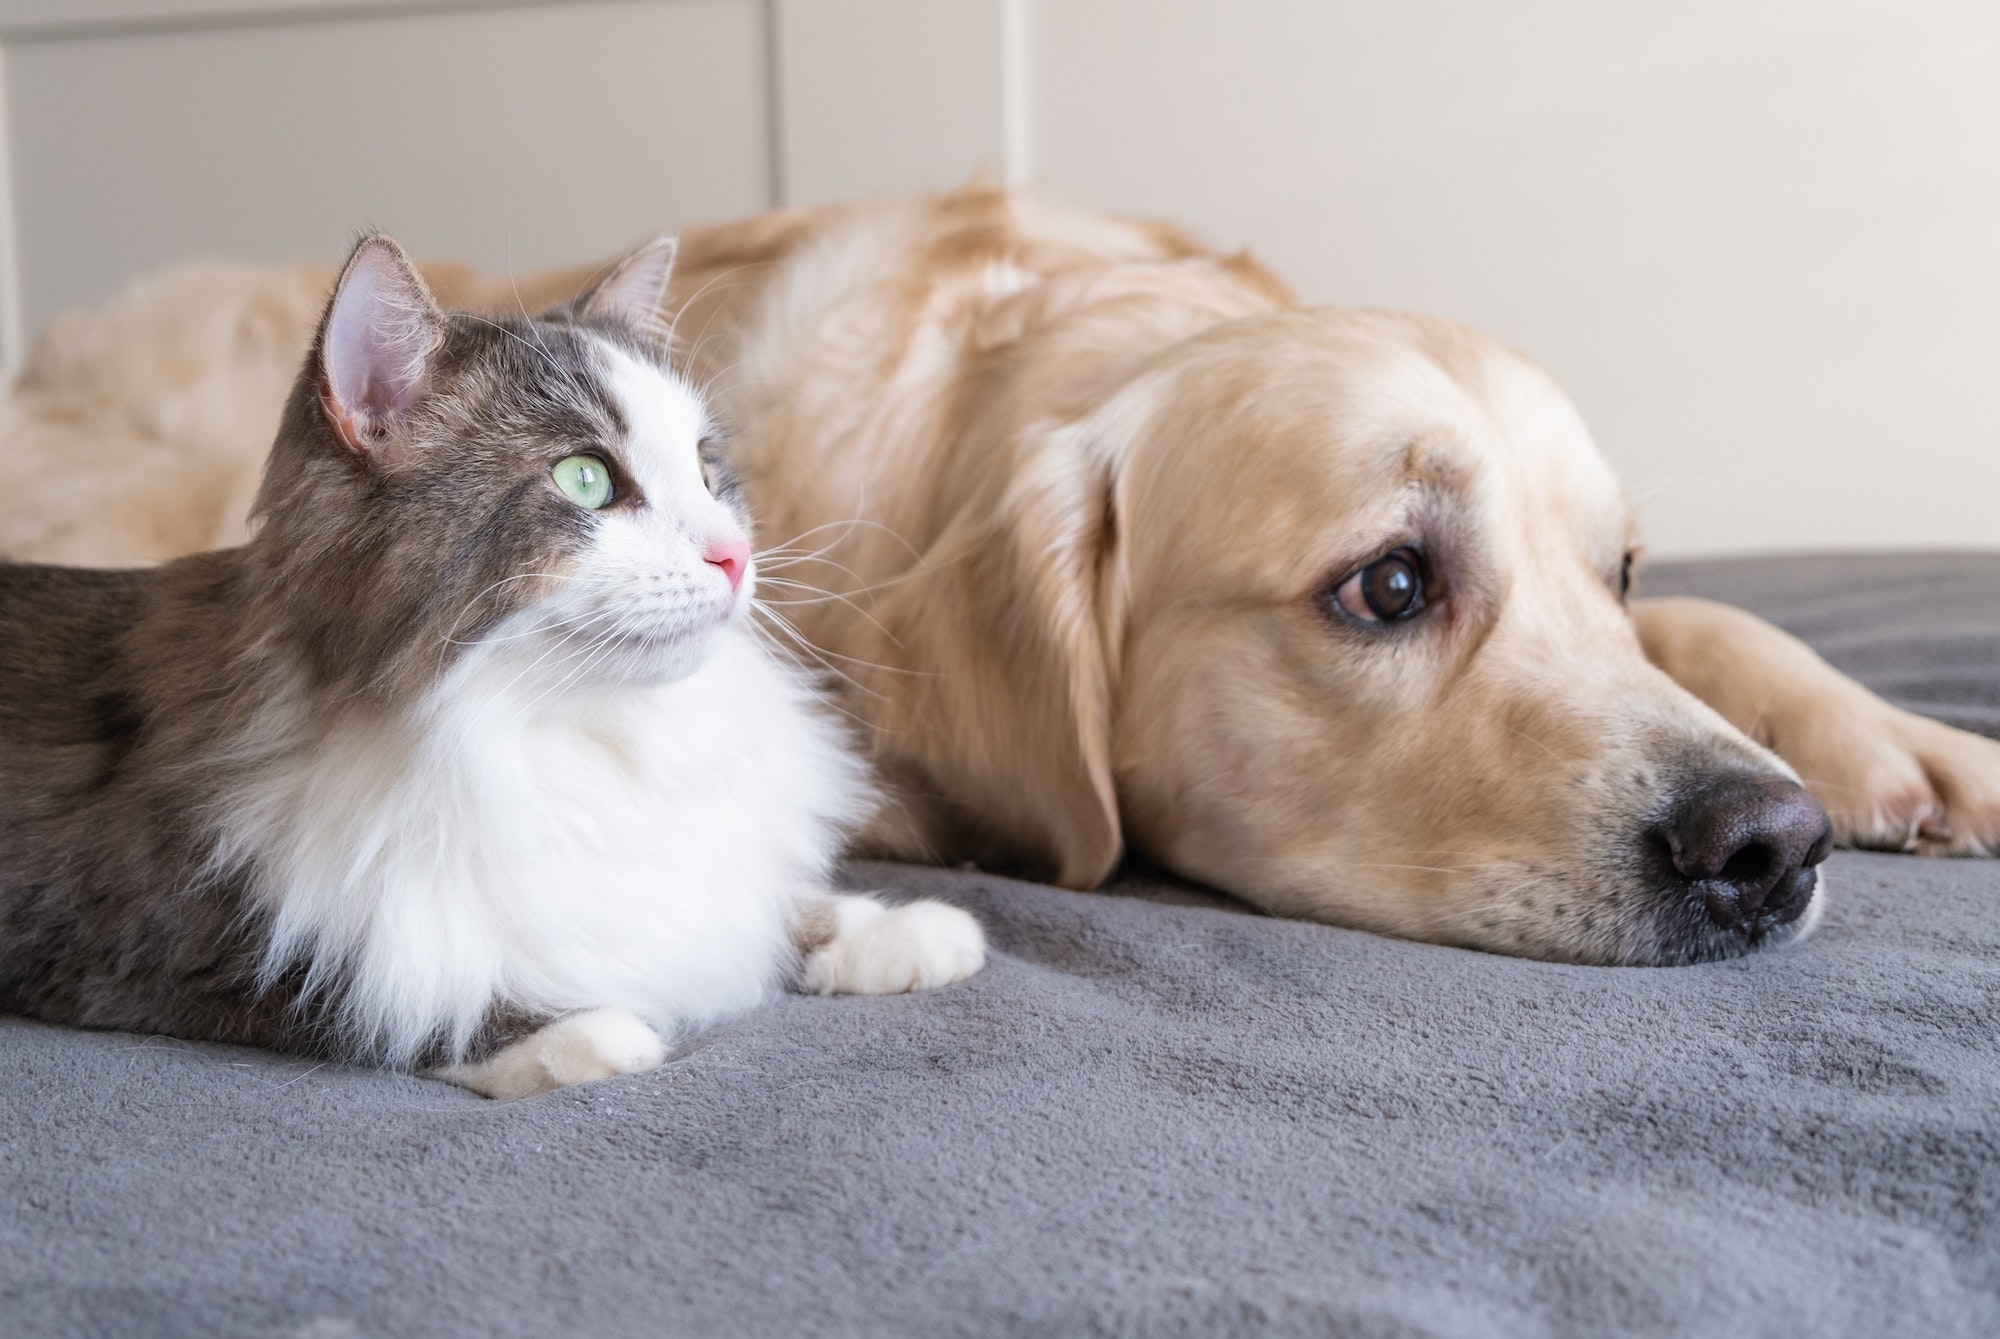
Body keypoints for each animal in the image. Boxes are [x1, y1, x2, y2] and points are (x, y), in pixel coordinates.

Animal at [0, 233, 984, 1103]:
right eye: (586, 479)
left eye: (709, 471)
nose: (736, 556)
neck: (563, 729)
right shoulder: (154, 931)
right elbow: (385, 995)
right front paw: (580, 1032)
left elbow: (756, 903)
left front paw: (897, 931)